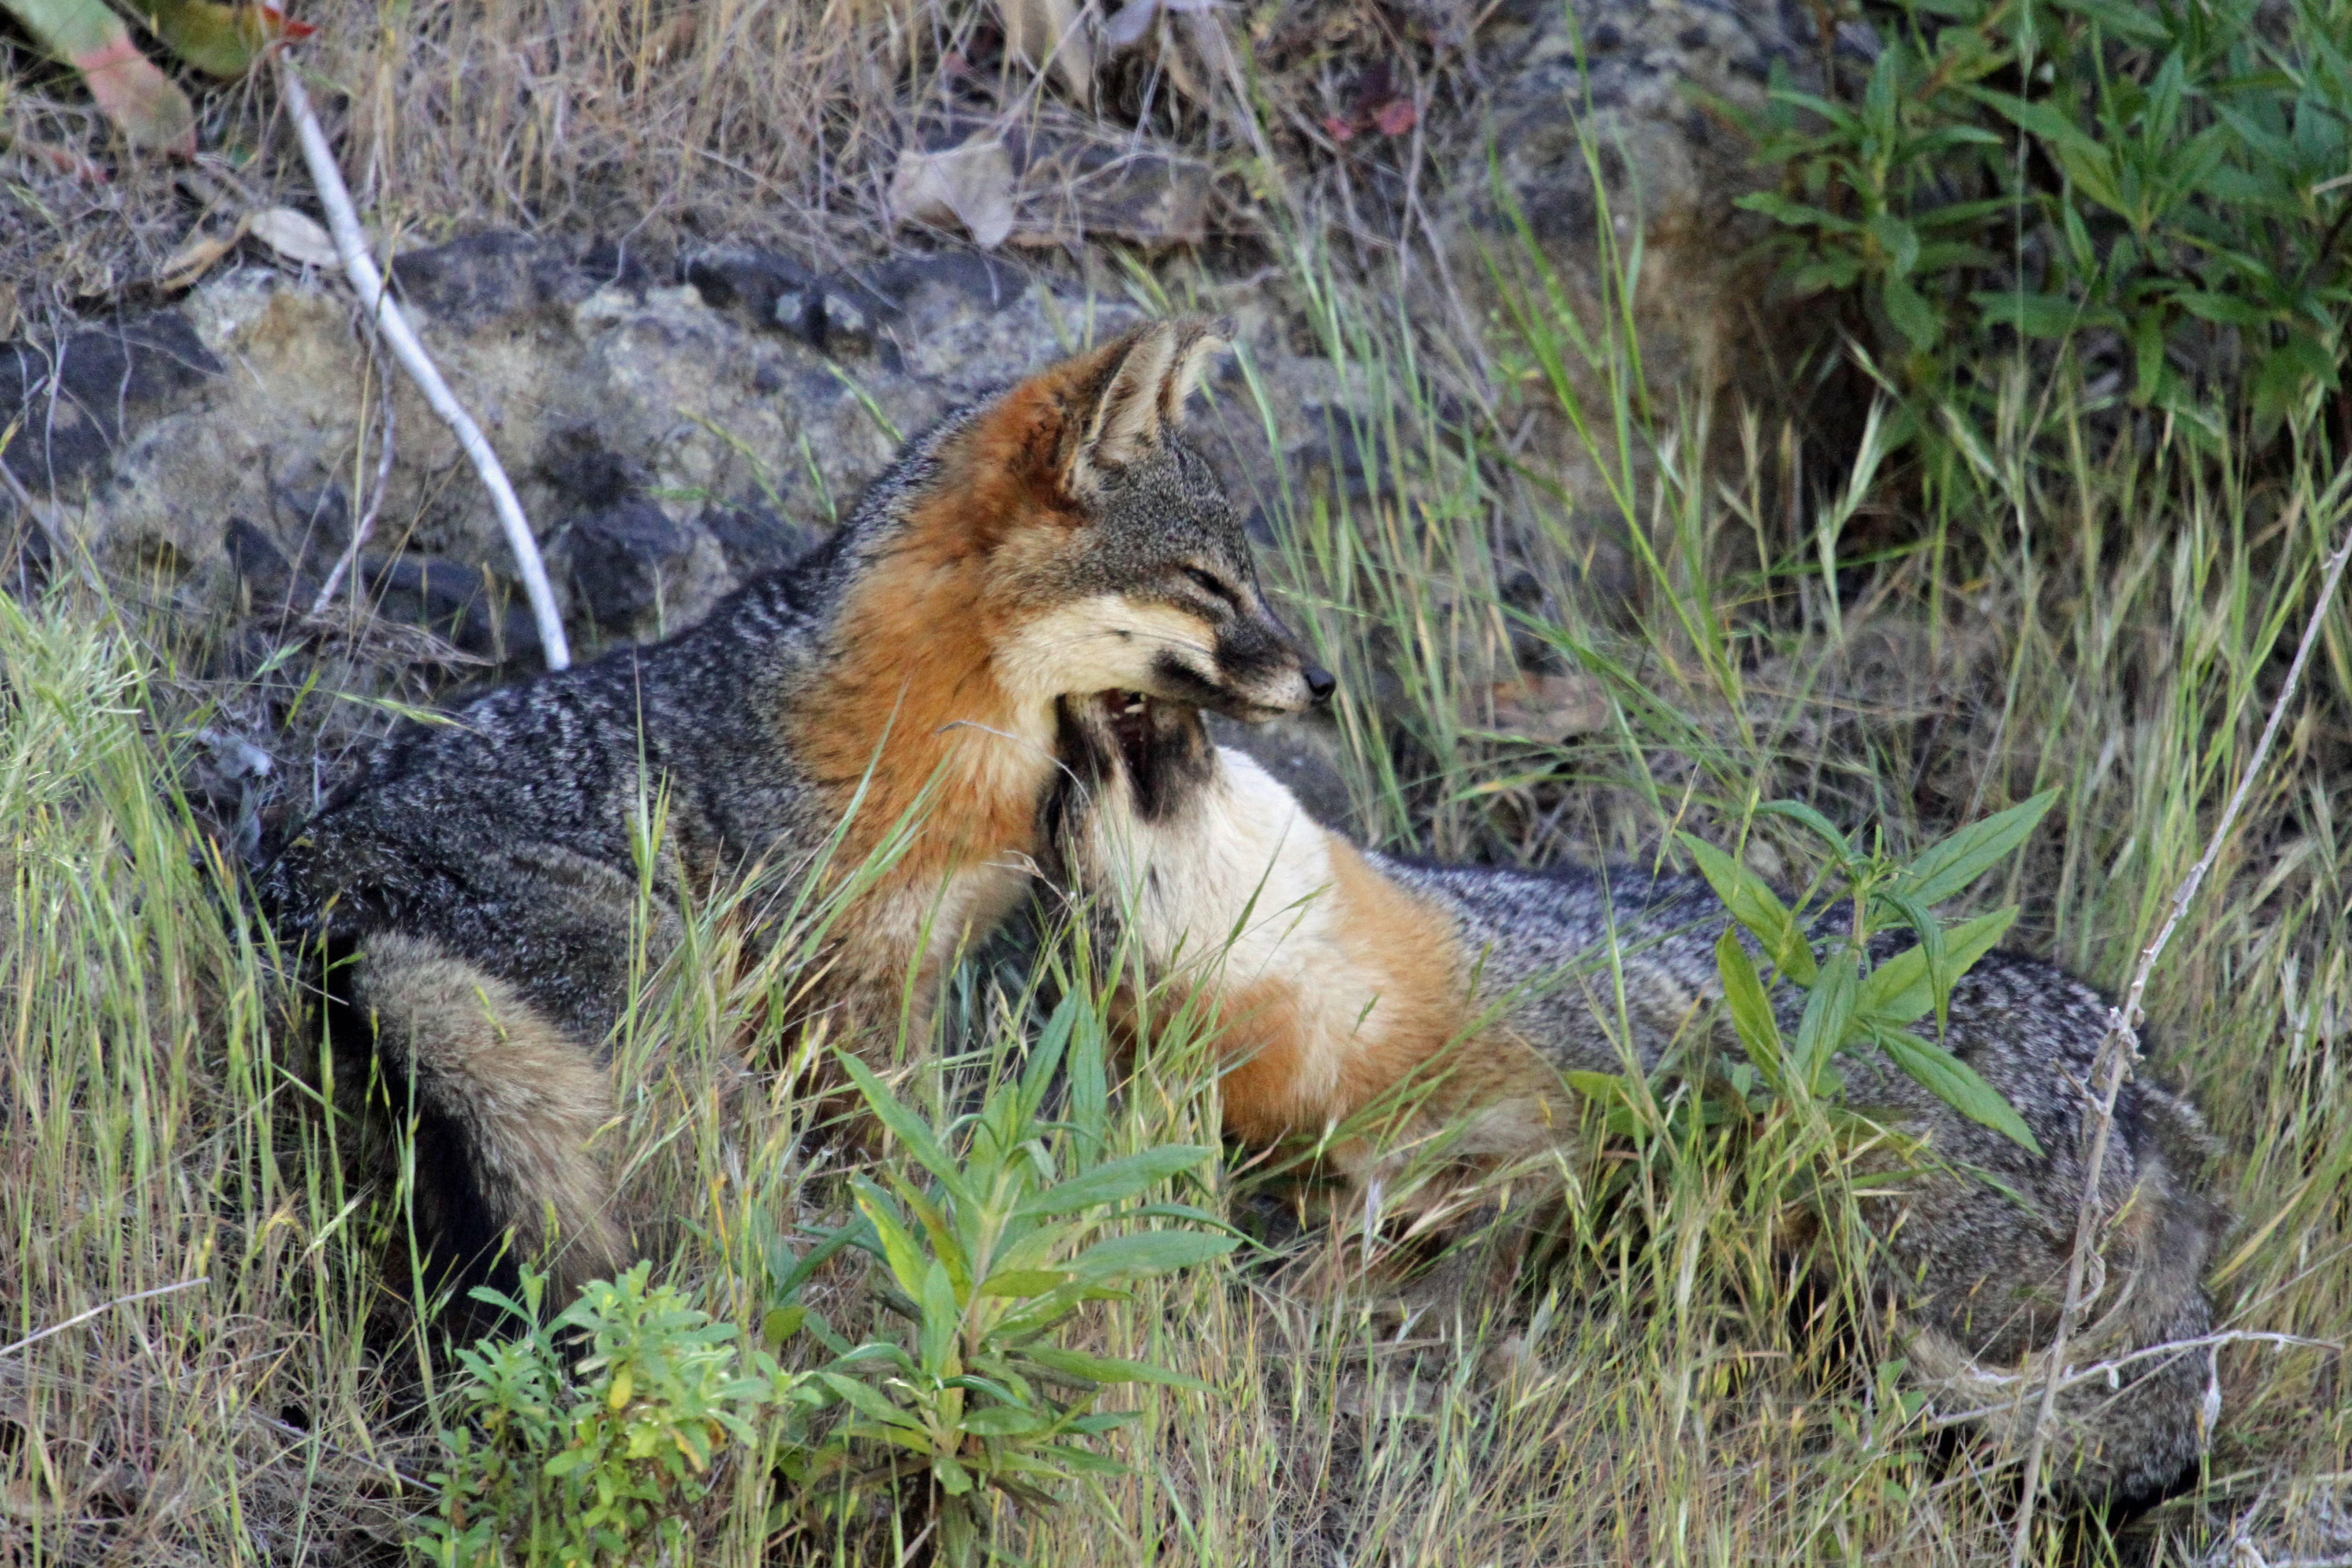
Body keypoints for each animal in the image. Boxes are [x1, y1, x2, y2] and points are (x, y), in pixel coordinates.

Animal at [260, 318, 1328, 1305]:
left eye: (1246, 579)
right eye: (1206, 584)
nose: (1319, 682)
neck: (947, 711)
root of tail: (323, 914)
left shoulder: (915, 970)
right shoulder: (843, 987)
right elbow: (899, 1157)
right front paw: (928, 1246)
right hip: (684, 1025)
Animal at [1045, 690, 2225, 1514]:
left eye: (1077, 782)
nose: (1074, 709)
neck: (1366, 1000)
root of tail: (2145, 1130)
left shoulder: (1549, 1101)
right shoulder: (1416, 1170)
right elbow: (1381, 1261)